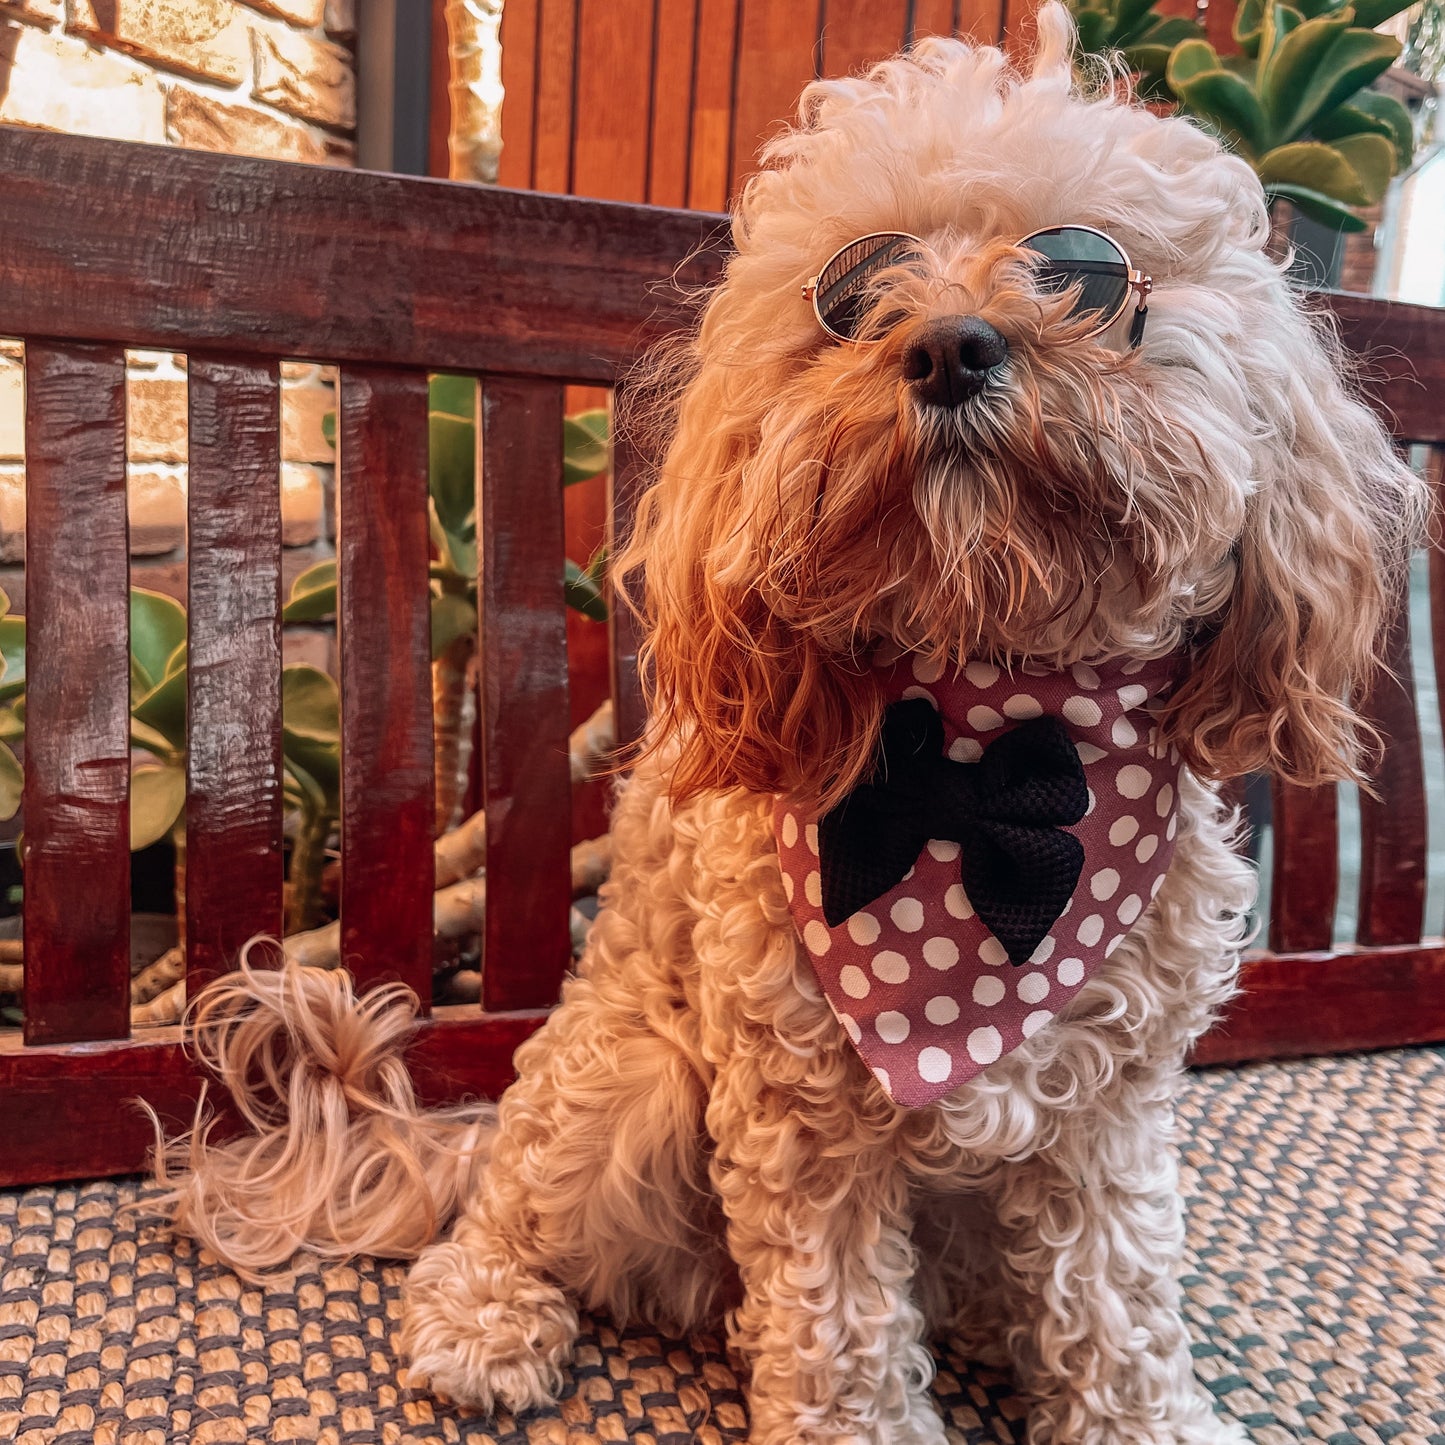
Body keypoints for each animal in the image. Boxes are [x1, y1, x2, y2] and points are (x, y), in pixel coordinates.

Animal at [164, 8, 1427, 1433]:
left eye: (1082, 272)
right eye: (853, 288)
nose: (947, 344)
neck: (982, 745)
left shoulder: (1106, 1106)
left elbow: (1116, 1293)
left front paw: (1143, 1412)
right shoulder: (797, 1103)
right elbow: (835, 1321)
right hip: (630, 1086)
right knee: (513, 1204)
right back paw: (488, 1316)